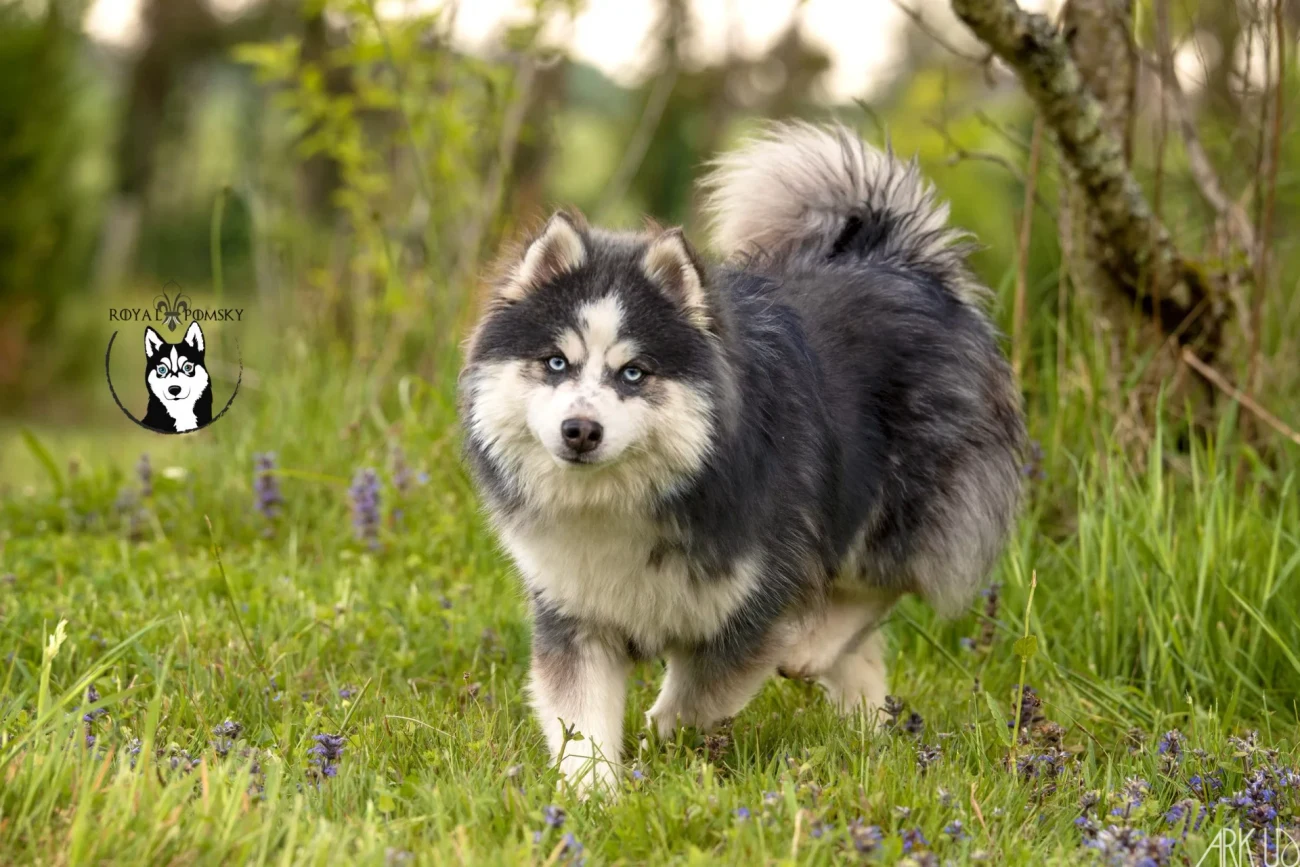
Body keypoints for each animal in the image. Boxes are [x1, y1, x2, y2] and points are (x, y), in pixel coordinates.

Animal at [459, 122, 1025, 794]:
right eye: (555, 362)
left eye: (633, 372)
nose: (580, 430)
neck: (625, 500)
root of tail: (899, 261)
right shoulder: (576, 615)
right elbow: (582, 723)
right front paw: (591, 797)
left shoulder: (758, 596)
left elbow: (700, 693)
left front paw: (664, 731)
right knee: (863, 653)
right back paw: (867, 735)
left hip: (902, 507)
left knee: (883, 582)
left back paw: (813, 648)